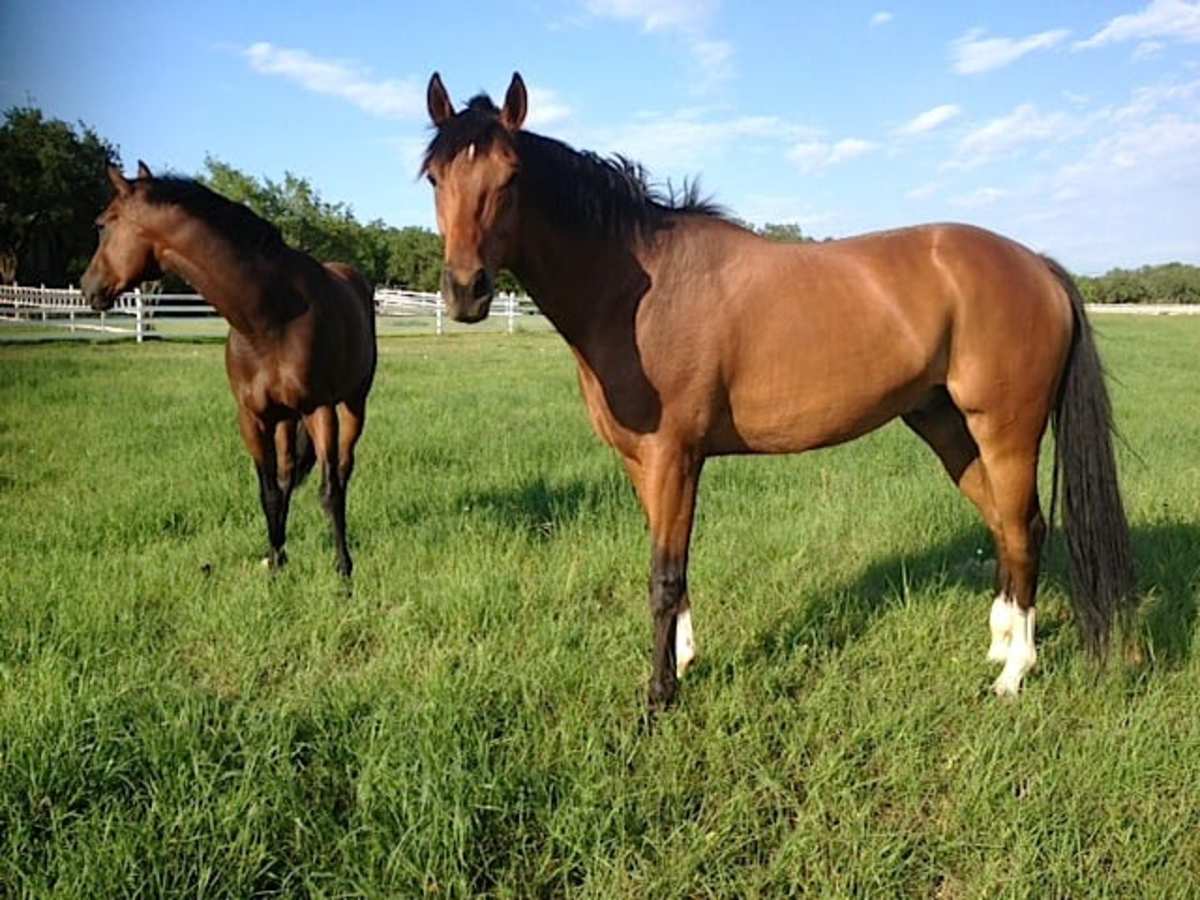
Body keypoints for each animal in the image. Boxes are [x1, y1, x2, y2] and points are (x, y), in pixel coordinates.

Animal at [81, 162, 377, 577]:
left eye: (102, 224)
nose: (87, 288)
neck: (271, 319)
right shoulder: (252, 417)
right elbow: (269, 493)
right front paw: (275, 565)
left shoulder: (319, 409)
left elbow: (329, 491)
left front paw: (344, 572)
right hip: (285, 418)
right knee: (287, 476)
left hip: (352, 404)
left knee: (343, 471)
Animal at [422, 72, 1135, 708]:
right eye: (434, 177)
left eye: (511, 176)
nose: (465, 292)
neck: (638, 291)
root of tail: (1036, 264)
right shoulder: (640, 462)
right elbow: (674, 566)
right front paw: (684, 658)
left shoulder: (674, 457)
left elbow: (664, 575)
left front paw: (660, 695)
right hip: (944, 424)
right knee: (1002, 526)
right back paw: (1001, 645)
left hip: (1005, 430)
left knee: (1025, 527)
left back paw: (1014, 675)